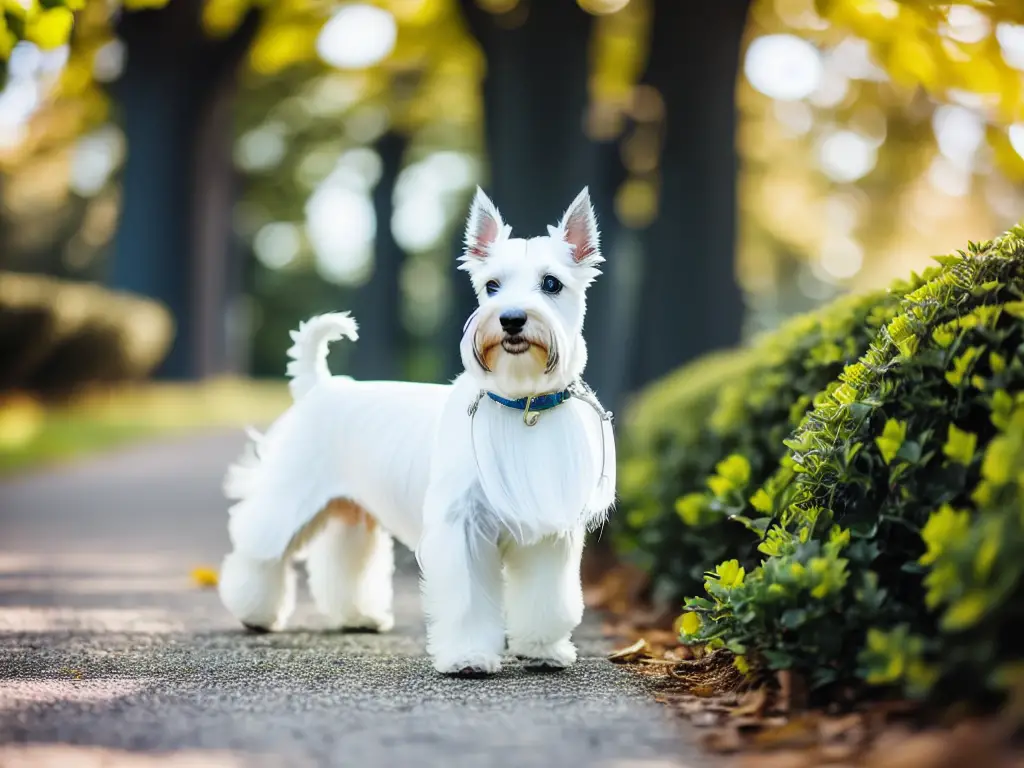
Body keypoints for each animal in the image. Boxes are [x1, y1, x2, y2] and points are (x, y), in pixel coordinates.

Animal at [218, 188, 614, 679]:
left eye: (552, 283)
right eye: (492, 286)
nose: (511, 319)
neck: (521, 402)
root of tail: (321, 386)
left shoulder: (548, 534)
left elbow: (547, 600)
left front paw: (543, 649)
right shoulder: (462, 530)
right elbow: (468, 603)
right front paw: (468, 656)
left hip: (353, 512)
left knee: (345, 561)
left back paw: (359, 616)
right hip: (287, 500)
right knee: (260, 554)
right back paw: (255, 612)